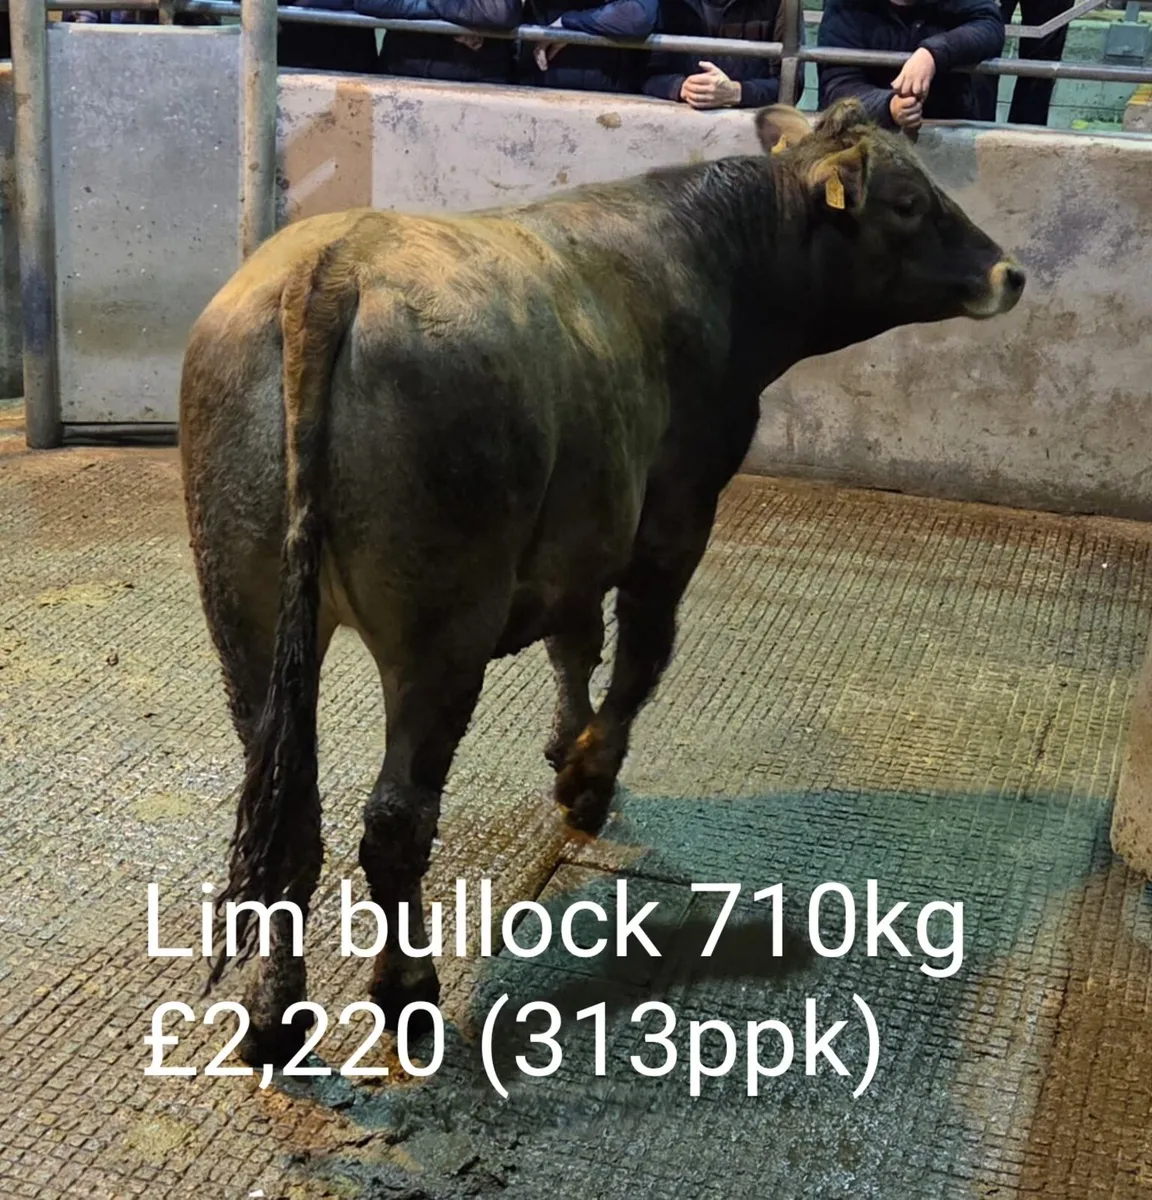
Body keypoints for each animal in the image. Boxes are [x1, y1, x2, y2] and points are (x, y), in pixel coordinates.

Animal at [179, 97, 1025, 1067]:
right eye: (909, 203)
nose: (1010, 271)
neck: (714, 259)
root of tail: (331, 271)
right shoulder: (676, 514)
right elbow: (641, 655)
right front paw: (588, 775)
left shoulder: (581, 536)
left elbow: (573, 644)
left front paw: (564, 746)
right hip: (441, 625)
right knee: (394, 820)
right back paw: (407, 991)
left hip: (244, 612)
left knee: (291, 819)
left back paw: (275, 1011)